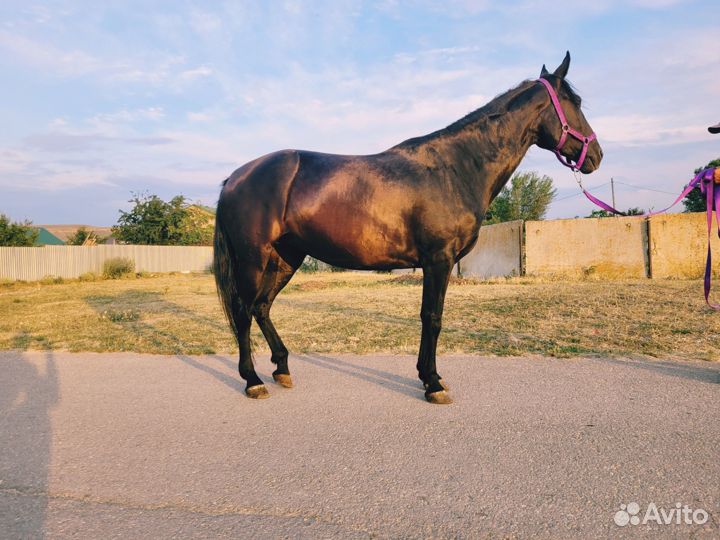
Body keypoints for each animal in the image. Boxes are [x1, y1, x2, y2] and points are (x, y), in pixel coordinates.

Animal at [213, 52, 603, 404]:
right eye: (576, 102)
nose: (597, 156)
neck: (455, 167)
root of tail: (235, 177)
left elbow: (431, 317)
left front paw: (428, 376)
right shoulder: (438, 260)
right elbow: (432, 317)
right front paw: (433, 383)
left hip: (286, 257)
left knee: (262, 307)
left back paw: (282, 368)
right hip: (254, 258)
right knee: (244, 311)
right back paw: (253, 381)